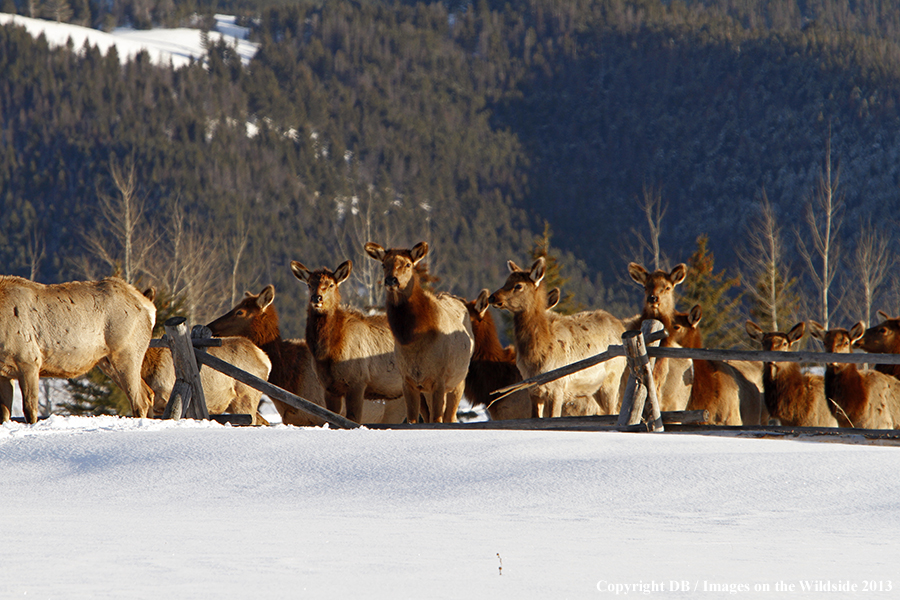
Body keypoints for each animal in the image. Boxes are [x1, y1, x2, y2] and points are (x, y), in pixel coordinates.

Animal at [0, 276, 156, 422]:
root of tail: (150, 307)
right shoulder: (5, 372)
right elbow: (5, 414)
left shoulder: (29, 361)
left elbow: (30, 410)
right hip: (106, 361)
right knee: (148, 393)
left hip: (127, 351)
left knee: (139, 399)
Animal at [290, 260, 402, 424]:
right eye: (309, 284)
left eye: (331, 284)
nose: (317, 298)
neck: (328, 353)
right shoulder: (329, 387)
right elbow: (331, 418)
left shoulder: (358, 382)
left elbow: (353, 419)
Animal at [366, 241, 478, 424]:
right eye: (383, 264)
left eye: (408, 264)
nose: (391, 280)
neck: (413, 340)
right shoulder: (408, 381)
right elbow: (412, 420)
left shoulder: (439, 380)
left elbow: (437, 419)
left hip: (458, 381)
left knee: (450, 417)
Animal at [488, 256, 628, 418]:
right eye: (506, 282)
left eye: (518, 285)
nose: (492, 297)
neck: (535, 357)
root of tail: (621, 326)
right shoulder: (532, 389)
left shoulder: (557, 387)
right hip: (593, 388)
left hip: (612, 379)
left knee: (613, 410)